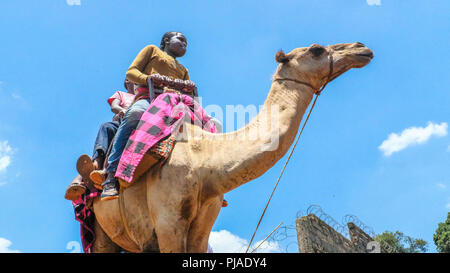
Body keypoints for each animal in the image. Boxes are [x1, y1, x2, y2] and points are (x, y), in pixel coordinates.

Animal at [90, 41, 372, 252]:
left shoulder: (203, 224)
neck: (203, 161)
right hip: (100, 228)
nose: (361, 48)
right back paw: (106, 183)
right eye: (316, 49)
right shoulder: (167, 222)